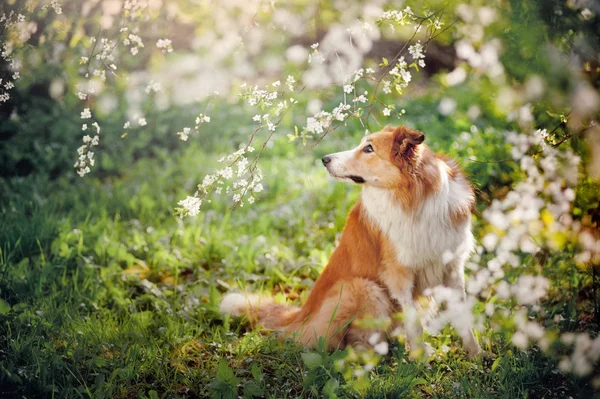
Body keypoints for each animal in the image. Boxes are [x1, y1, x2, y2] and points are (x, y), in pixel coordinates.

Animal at [220, 126, 482, 358]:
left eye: (369, 148)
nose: (324, 159)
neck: (415, 199)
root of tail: (300, 316)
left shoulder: (453, 268)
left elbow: (463, 317)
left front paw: (475, 356)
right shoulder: (398, 277)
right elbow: (414, 325)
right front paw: (420, 361)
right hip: (364, 288)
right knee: (352, 344)